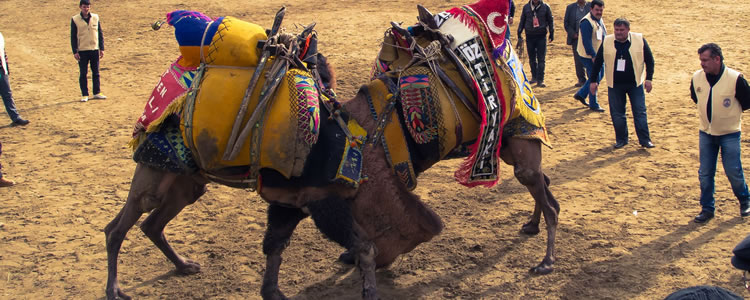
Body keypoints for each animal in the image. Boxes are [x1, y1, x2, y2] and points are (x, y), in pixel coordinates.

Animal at [104, 4, 560, 300]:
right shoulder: (319, 199)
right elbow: (360, 246)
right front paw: (364, 284)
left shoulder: (296, 200)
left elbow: (278, 246)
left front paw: (278, 290)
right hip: (160, 173)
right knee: (122, 225)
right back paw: (118, 287)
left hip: (186, 182)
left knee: (543, 189)